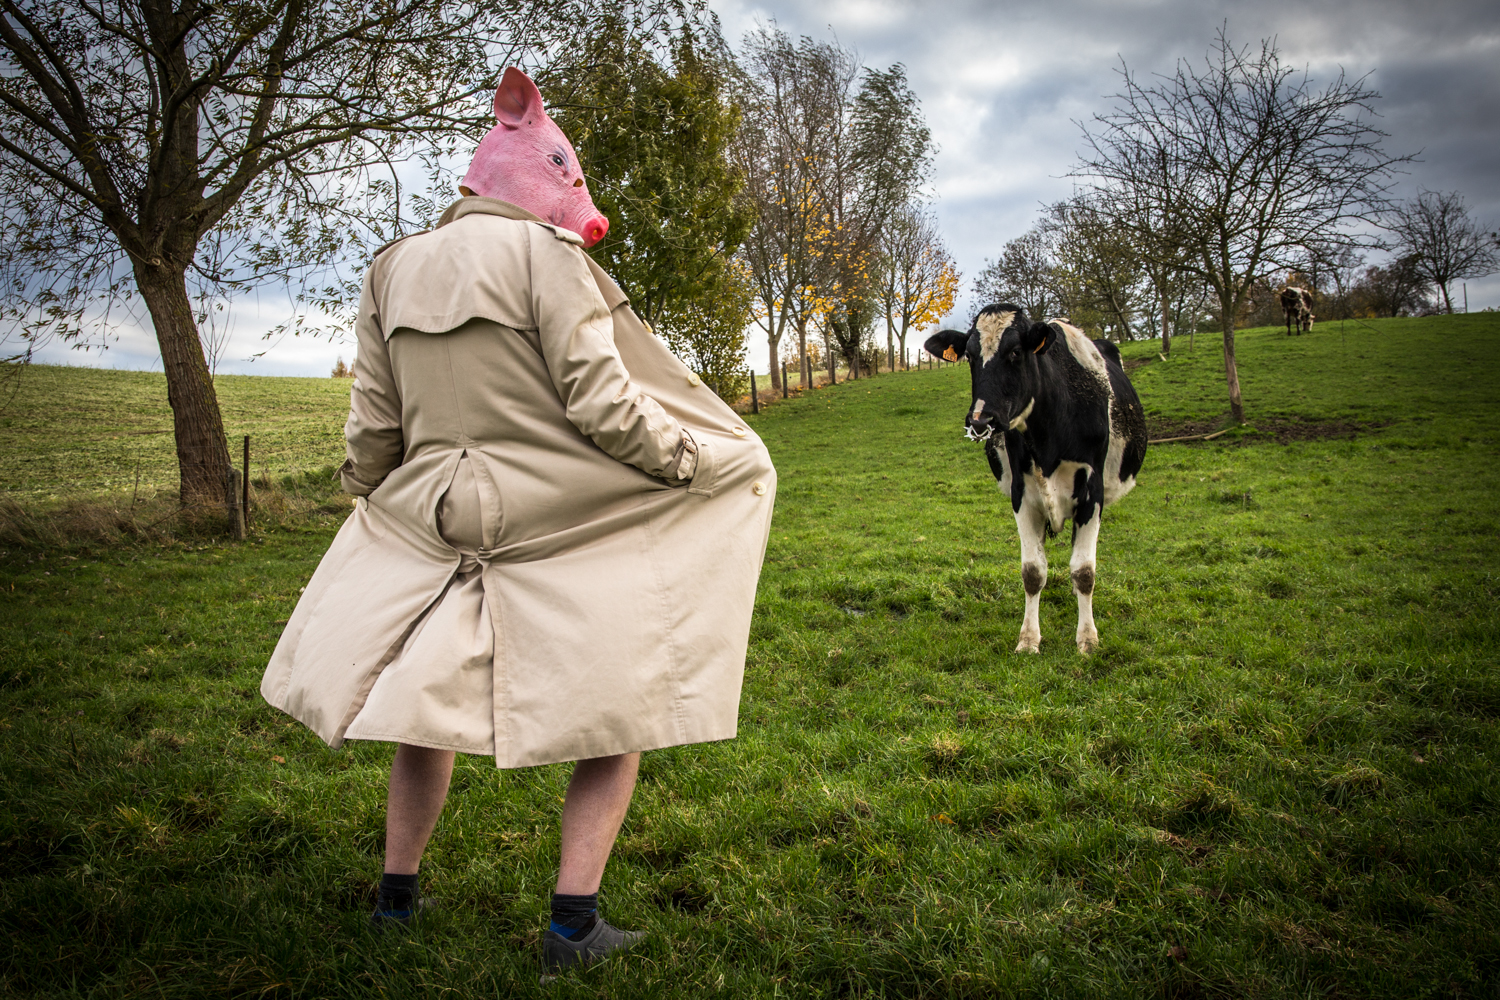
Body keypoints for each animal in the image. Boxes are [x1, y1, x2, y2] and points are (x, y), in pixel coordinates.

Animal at [924, 301, 1146, 653]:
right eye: (970, 356)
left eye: (1016, 352)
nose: (980, 419)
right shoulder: (1022, 492)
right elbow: (1033, 572)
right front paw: (1028, 639)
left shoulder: (1092, 491)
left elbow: (1084, 571)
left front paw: (1087, 639)